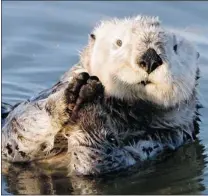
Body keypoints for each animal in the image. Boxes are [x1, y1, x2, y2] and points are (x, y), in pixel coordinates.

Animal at [0, 14, 201, 175]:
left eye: (175, 48)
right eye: (119, 42)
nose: (150, 58)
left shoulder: (160, 142)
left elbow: (101, 161)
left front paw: (90, 102)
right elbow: (16, 129)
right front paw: (71, 93)